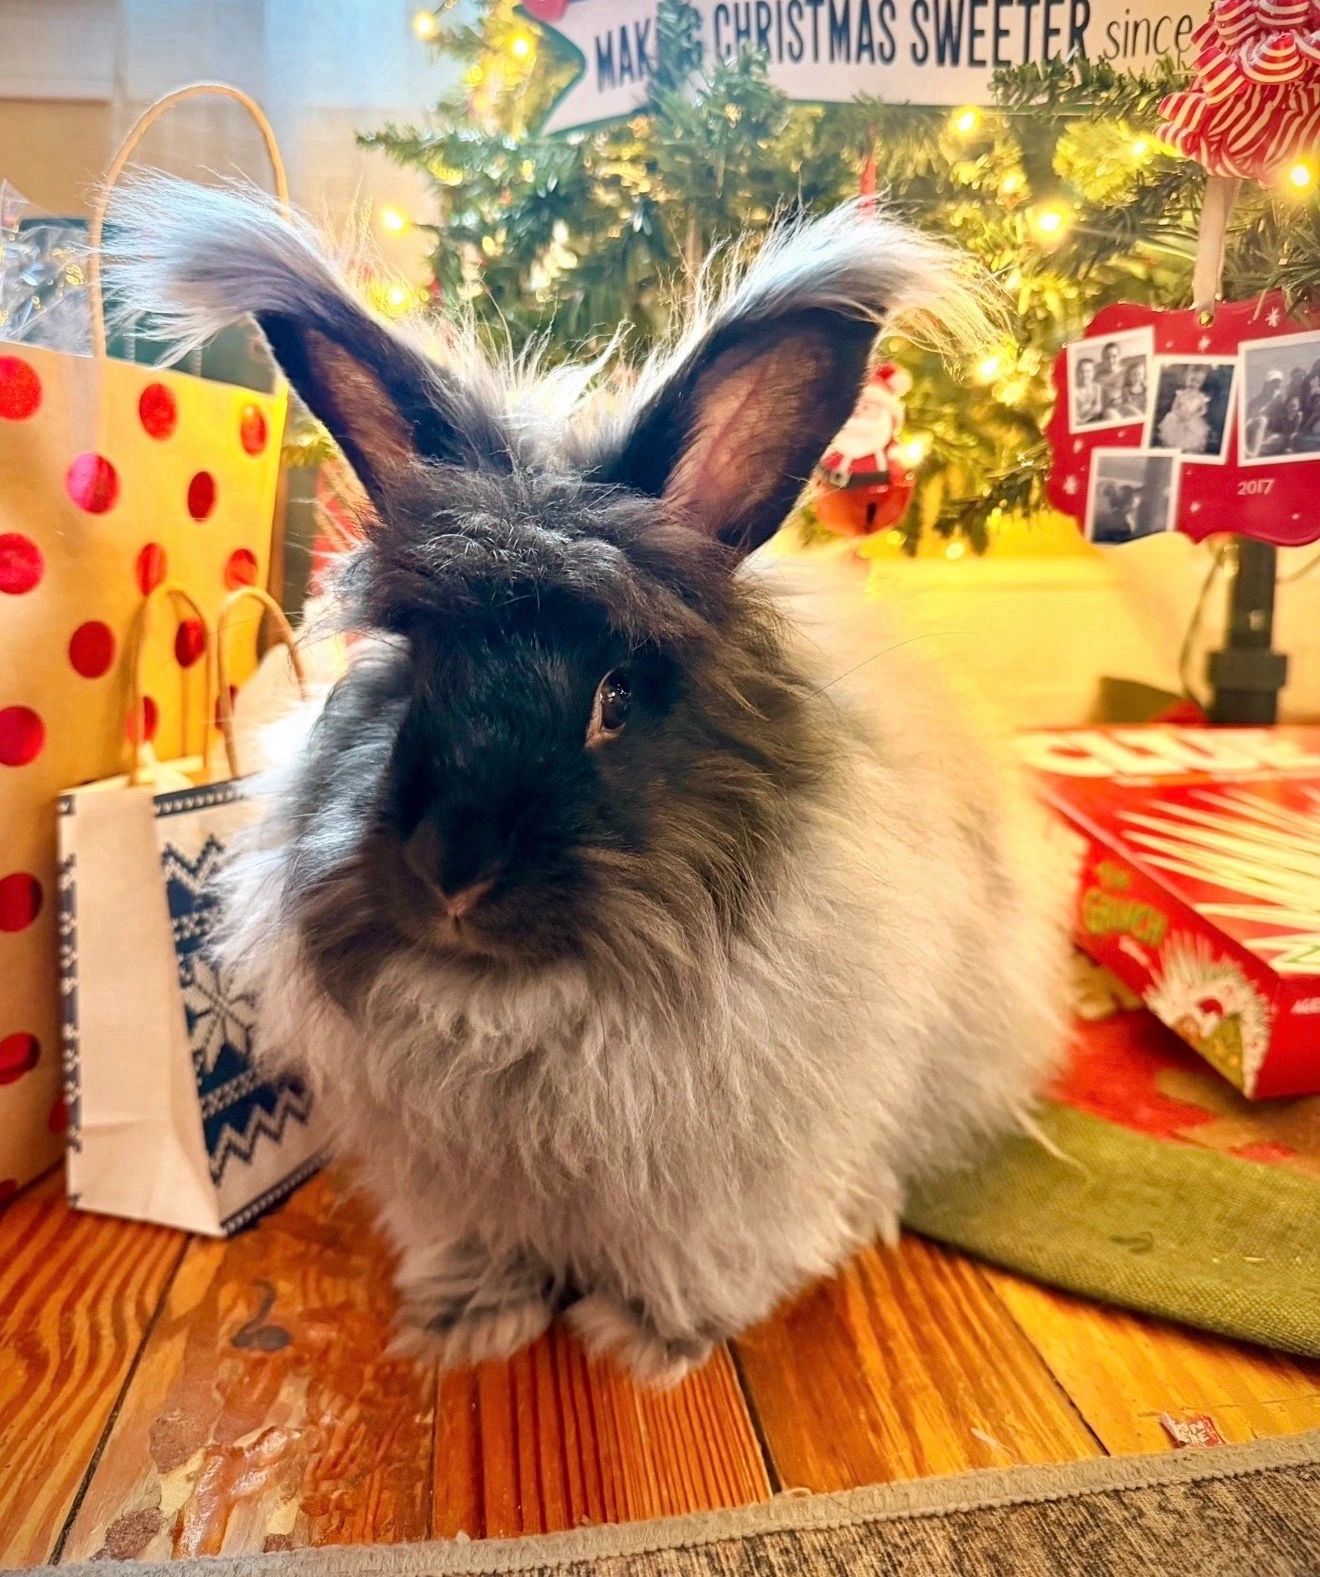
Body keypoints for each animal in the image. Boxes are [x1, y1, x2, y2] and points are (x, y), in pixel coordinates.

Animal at [105, 183, 1067, 1386]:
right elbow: (481, 1246)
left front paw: (645, 1340)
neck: (512, 1006)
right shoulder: (456, 1185)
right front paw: (470, 1323)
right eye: (418, 670)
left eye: (617, 698)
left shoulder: (741, 1176)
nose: (452, 875)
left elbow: (703, 1255)